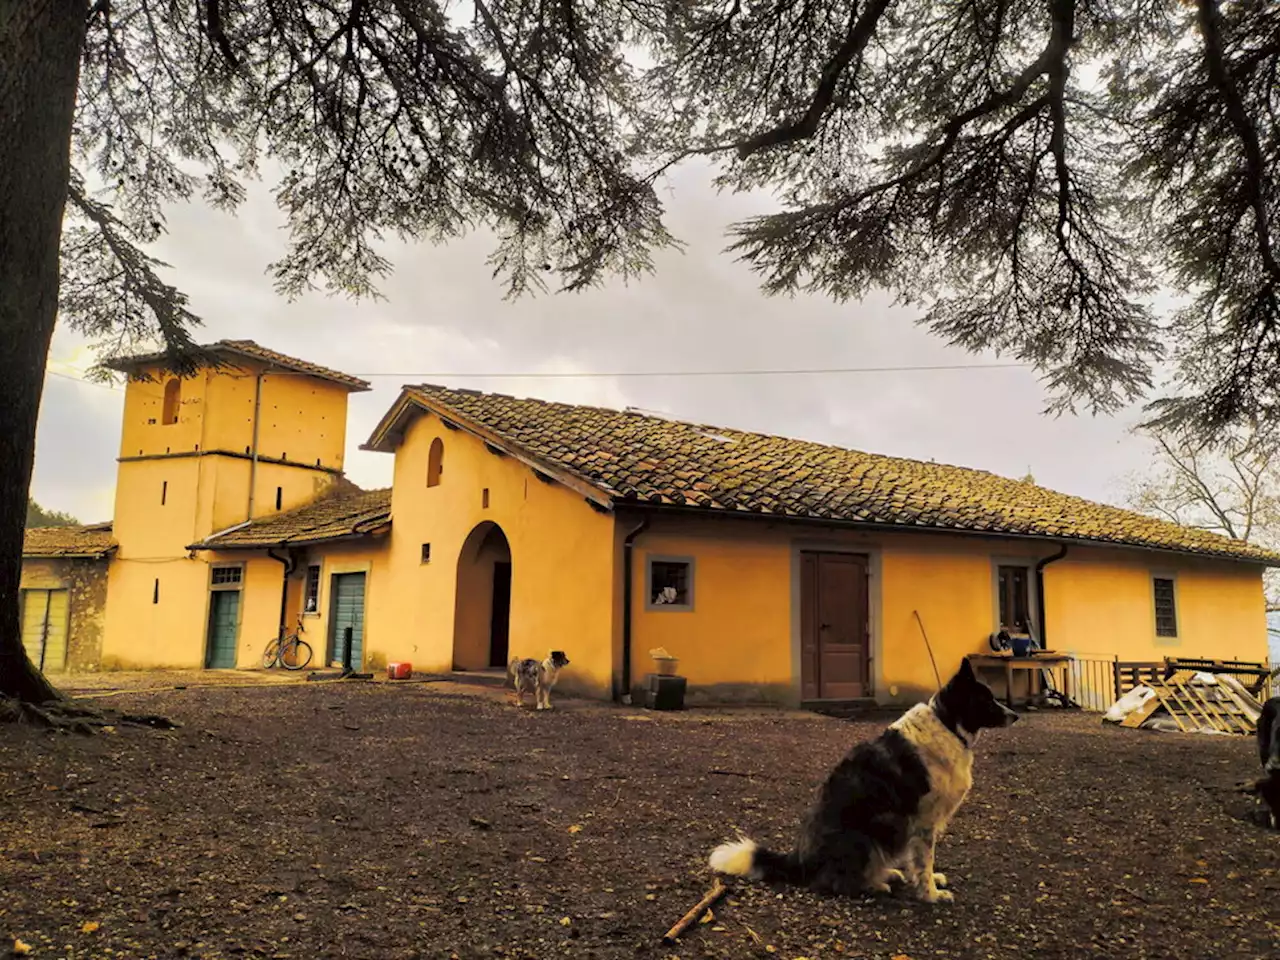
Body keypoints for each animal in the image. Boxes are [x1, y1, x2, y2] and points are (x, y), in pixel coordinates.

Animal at [711, 660, 1018, 906]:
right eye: (987, 700)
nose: (1016, 715)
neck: (947, 723)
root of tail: (800, 860)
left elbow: (919, 862)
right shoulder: (923, 821)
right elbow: (924, 862)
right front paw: (930, 894)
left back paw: (887, 874)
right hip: (866, 836)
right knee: (836, 883)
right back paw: (874, 885)